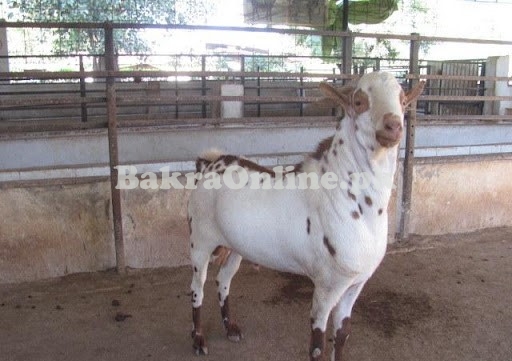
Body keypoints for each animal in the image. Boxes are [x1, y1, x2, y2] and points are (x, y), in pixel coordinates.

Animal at [186, 71, 426, 358]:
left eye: (403, 101)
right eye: (359, 102)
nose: (393, 126)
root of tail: (209, 163)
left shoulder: (354, 285)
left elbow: (342, 334)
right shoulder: (326, 286)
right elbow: (318, 344)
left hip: (236, 247)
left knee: (223, 279)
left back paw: (230, 328)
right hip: (200, 242)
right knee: (197, 288)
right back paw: (198, 339)